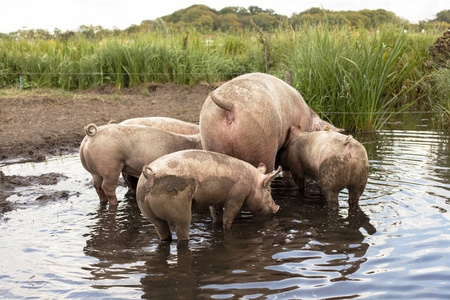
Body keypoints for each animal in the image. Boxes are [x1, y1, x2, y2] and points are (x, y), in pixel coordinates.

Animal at [136, 149, 282, 243]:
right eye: (268, 189)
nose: (277, 208)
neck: (252, 183)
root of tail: (150, 176)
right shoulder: (236, 197)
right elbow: (228, 218)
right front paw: (229, 228)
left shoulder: (215, 200)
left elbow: (216, 214)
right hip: (179, 209)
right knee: (181, 231)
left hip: (147, 210)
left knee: (162, 230)